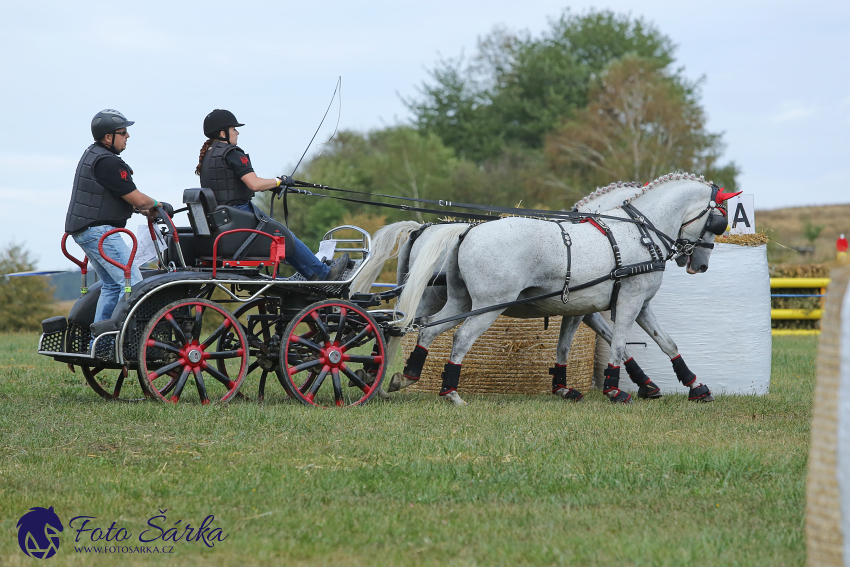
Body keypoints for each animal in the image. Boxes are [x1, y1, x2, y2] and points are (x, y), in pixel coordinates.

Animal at [358, 172, 736, 404]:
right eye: (719, 221)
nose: (700, 265)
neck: (636, 233)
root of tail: (466, 231)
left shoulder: (596, 306)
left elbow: (661, 342)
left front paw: (694, 385)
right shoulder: (627, 301)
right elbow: (617, 344)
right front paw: (616, 390)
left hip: (457, 301)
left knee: (422, 331)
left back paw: (402, 377)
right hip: (488, 304)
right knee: (458, 337)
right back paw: (449, 391)